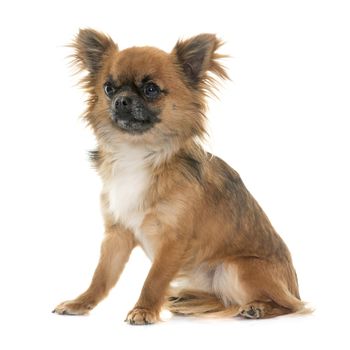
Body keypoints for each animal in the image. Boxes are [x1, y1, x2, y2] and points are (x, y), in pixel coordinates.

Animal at [52, 30, 308, 326]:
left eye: (151, 89)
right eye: (108, 88)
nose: (121, 100)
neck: (139, 152)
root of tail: (294, 287)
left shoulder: (173, 240)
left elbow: (154, 279)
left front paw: (143, 310)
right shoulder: (117, 234)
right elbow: (101, 276)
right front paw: (80, 303)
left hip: (236, 268)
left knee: (290, 306)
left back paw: (257, 308)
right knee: (226, 300)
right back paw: (188, 300)